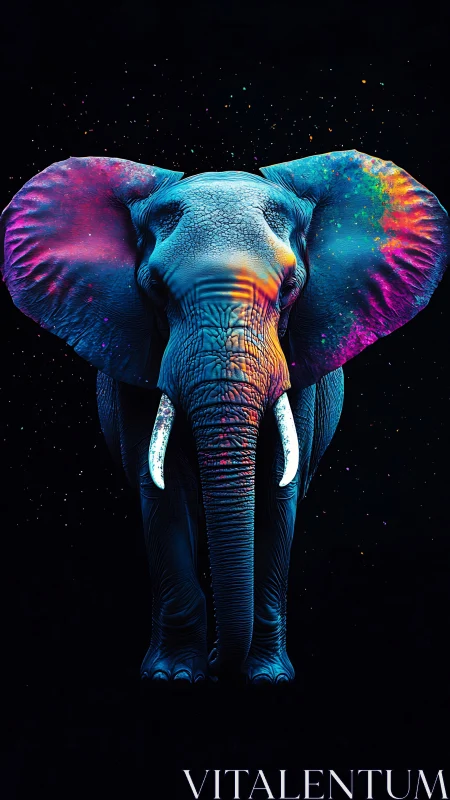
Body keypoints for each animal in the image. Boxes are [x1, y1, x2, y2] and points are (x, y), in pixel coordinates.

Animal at [1, 150, 448, 684]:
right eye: (154, 287)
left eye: (292, 286)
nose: (219, 664)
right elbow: (164, 490)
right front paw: (172, 677)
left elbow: (278, 492)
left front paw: (267, 678)